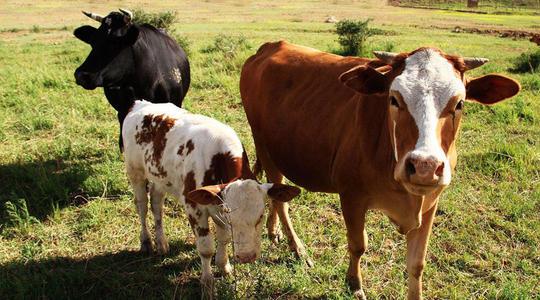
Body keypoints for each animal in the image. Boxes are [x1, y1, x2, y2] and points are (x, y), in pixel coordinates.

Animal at [121, 101, 300, 290]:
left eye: (260, 216)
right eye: (231, 218)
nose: (247, 257)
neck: (217, 158)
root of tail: (141, 105)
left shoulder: (217, 205)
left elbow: (224, 238)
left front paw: (224, 266)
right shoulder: (194, 207)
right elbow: (206, 248)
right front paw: (207, 281)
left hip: (160, 178)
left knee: (156, 202)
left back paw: (161, 242)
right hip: (135, 172)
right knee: (142, 206)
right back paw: (146, 241)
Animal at [240, 41, 520, 298]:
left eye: (459, 103)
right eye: (393, 99)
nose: (424, 166)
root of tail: (270, 47)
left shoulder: (431, 202)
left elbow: (417, 263)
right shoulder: (351, 196)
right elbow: (358, 245)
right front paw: (354, 284)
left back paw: (274, 231)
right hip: (264, 146)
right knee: (281, 201)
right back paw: (297, 248)